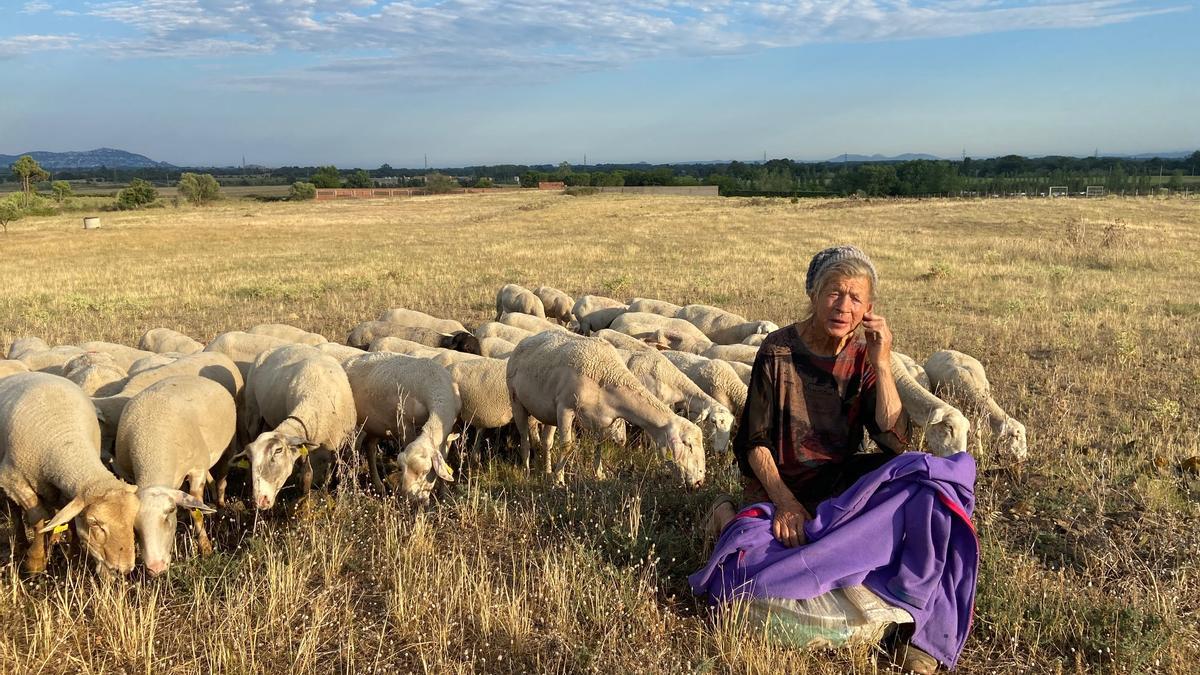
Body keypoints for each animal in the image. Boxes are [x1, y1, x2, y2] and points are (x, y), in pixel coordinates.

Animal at [0, 367, 139, 571]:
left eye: (133, 519)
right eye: (94, 523)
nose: (124, 569)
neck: (66, 440)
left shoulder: (71, 491)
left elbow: (71, 522)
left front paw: (73, 559)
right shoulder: (13, 481)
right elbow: (39, 518)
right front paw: (36, 562)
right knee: (16, 512)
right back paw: (21, 544)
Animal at [113, 372, 232, 571]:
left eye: (169, 512)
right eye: (135, 526)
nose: (156, 567)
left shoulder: (197, 470)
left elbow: (196, 510)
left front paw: (205, 547)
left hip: (227, 448)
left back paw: (220, 502)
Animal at [241, 343, 355, 506]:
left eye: (278, 451)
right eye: (252, 456)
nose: (261, 500)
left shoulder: (339, 444)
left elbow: (333, 471)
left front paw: (327, 491)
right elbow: (307, 474)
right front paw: (304, 499)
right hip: (253, 409)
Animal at [348, 353, 463, 499]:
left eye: (426, 471)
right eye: (402, 469)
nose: (409, 497)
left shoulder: (449, 431)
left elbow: (444, 457)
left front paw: (444, 494)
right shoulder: (406, 425)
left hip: (375, 424)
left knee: (370, 447)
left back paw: (378, 485)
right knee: (355, 446)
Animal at [504, 326, 700, 480]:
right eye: (687, 444)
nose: (699, 481)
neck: (608, 375)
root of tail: (526, 340)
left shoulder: (601, 419)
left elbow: (599, 446)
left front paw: (598, 474)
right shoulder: (565, 408)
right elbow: (566, 446)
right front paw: (559, 480)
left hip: (548, 412)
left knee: (547, 442)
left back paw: (547, 470)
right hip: (516, 401)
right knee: (524, 438)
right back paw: (527, 471)